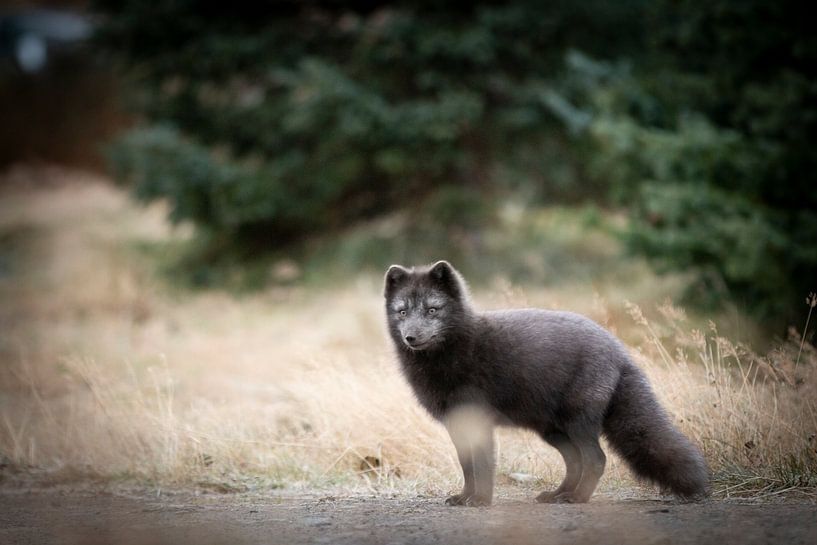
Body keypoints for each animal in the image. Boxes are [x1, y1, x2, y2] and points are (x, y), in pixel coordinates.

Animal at [384, 260, 709, 506]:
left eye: (432, 310)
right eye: (403, 311)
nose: (411, 337)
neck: (455, 350)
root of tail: (619, 350)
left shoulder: (478, 422)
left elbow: (483, 466)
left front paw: (481, 501)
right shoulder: (457, 425)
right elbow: (468, 467)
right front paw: (464, 497)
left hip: (577, 423)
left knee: (596, 459)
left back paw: (577, 498)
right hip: (553, 430)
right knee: (576, 462)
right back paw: (559, 494)